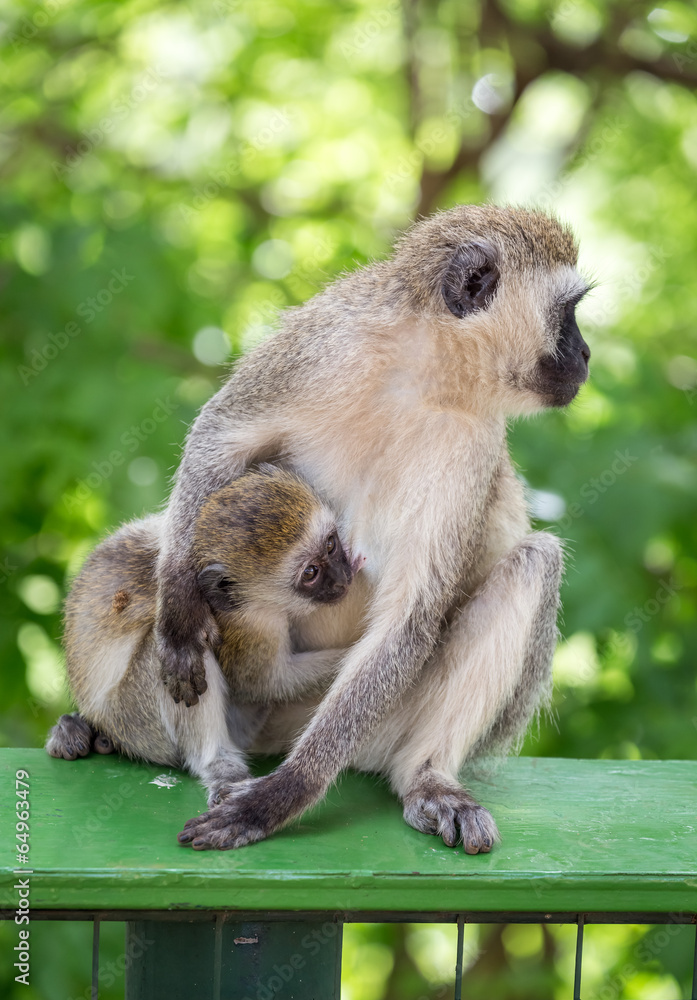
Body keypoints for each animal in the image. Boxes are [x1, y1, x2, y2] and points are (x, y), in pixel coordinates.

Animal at [46, 465, 365, 805]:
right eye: (311, 573)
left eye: (330, 545)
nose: (342, 578)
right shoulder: (250, 624)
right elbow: (266, 682)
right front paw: (358, 655)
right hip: (137, 724)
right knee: (170, 656)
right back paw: (217, 764)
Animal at [148, 204, 592, 857]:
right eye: (568, 314)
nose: (586, 355)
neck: (426, 369)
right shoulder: (328, 340)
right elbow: (222, 434)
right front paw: (179, 609)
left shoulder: (472, 441)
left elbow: (410, 616)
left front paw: (284, 796)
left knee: (536, 560)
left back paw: (426, 777)